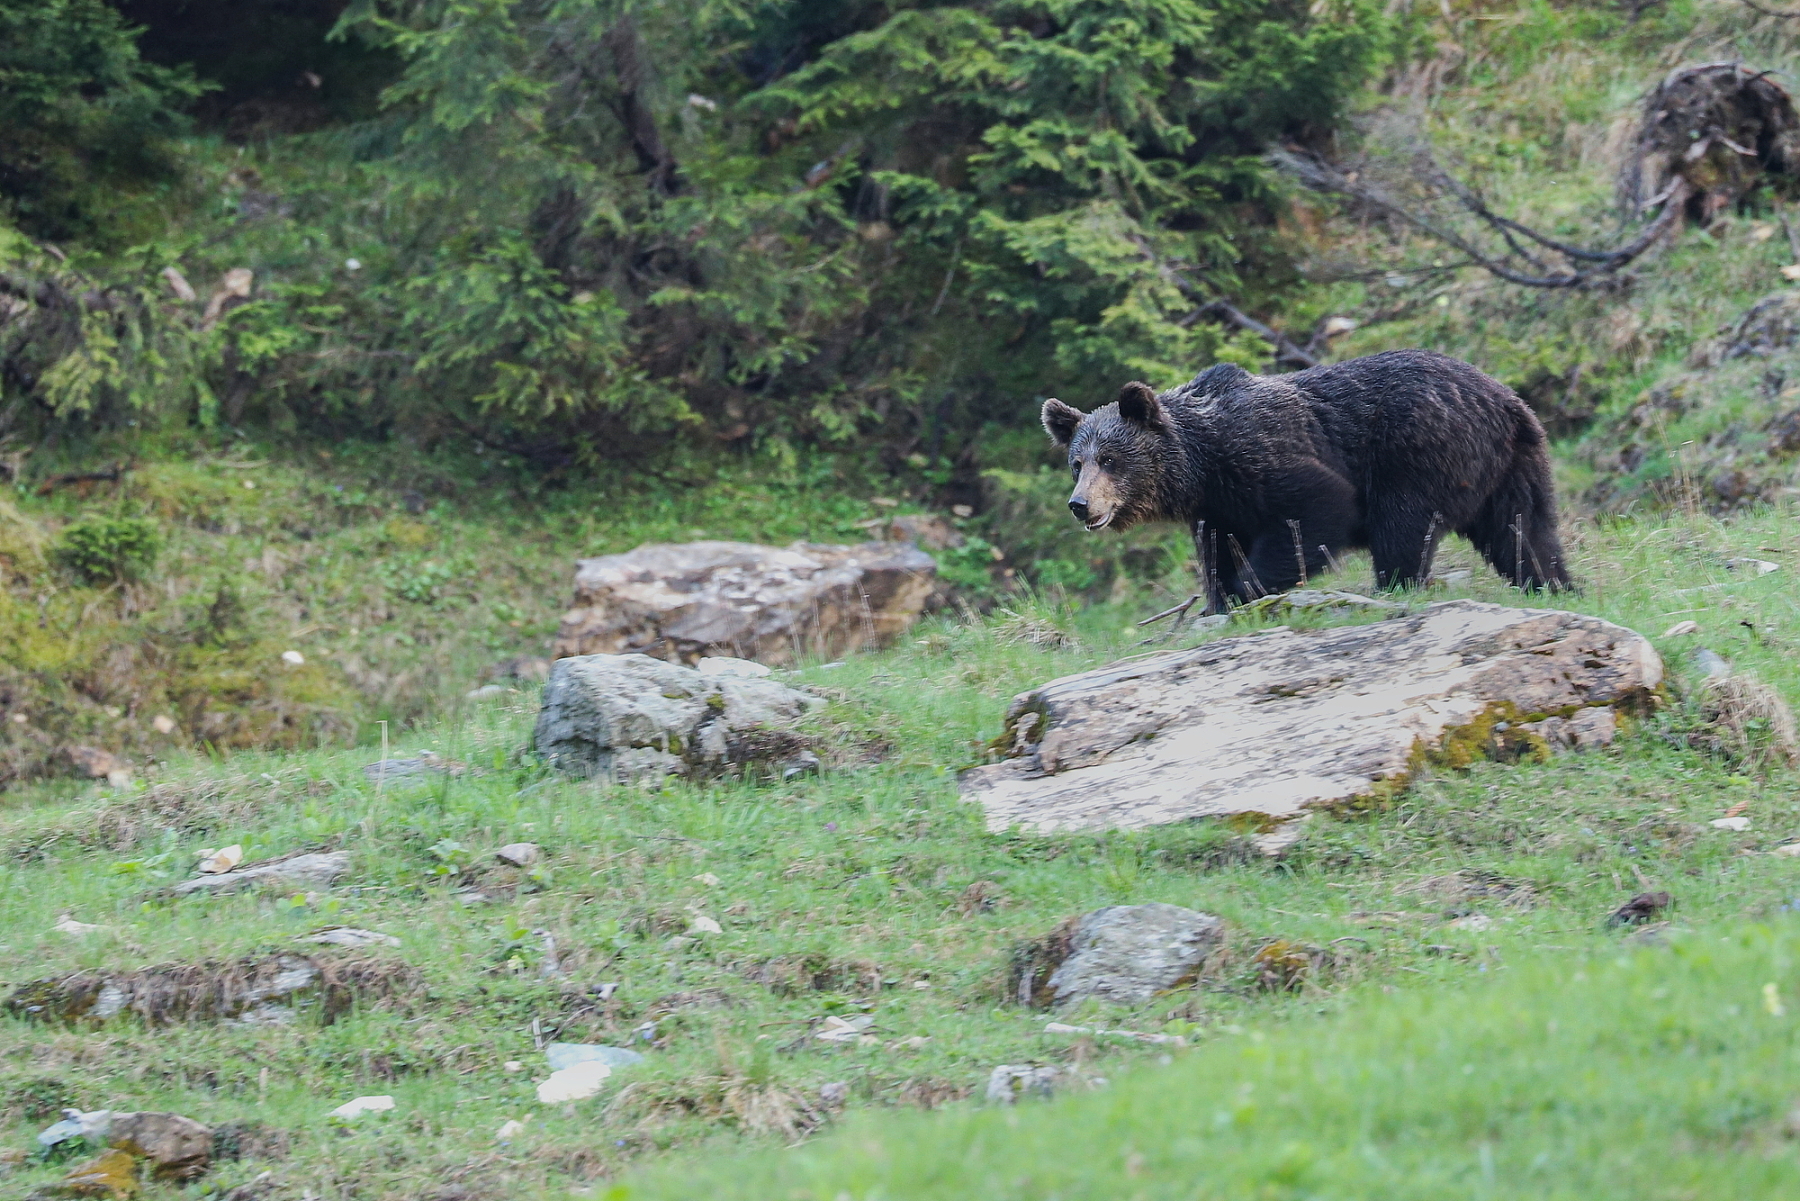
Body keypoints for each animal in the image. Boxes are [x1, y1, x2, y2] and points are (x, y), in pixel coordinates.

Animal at [1051, 345, 1569, 612]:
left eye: (1110, 459)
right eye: (1077, 462)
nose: (1080, 504)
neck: (1202, 463)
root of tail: (1504, 399)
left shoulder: (1263, 457)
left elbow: (1320, 507)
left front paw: (1246, 589)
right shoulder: (1219, 507)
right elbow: (1217, 551)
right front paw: (1219, 599)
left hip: (1417, 453)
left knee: (1402, 526)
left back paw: (1393, 588)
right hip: (1513, 467)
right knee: (1525, 531)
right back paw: (1554, 584)